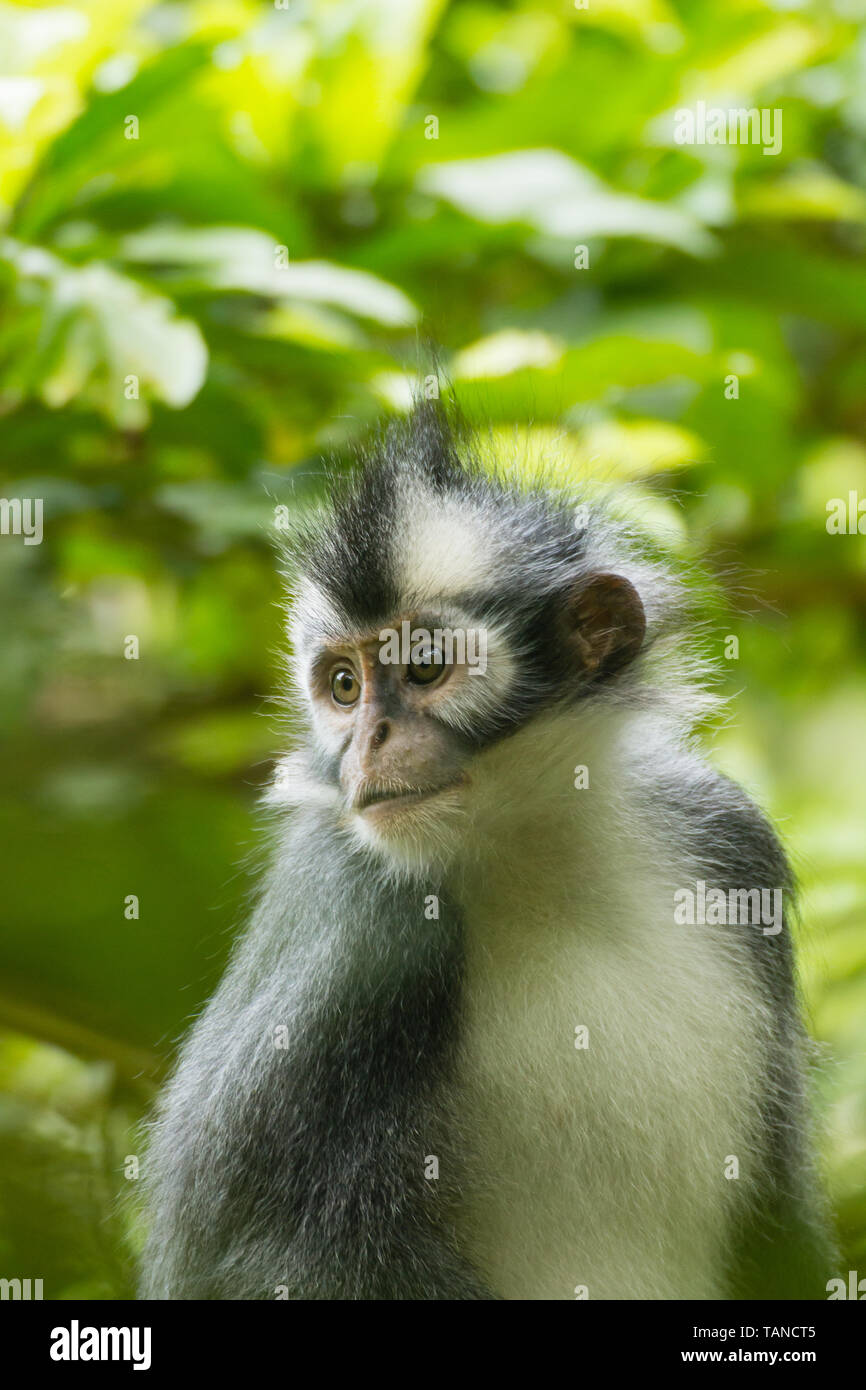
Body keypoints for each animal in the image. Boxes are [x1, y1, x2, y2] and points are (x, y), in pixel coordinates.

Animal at [139, 397, 839, 1295]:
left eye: (425, 668)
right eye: (344, 686)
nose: (370, 741)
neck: (533, 846)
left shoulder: (729, 839)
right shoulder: (363, 917)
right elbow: (255, 1250)